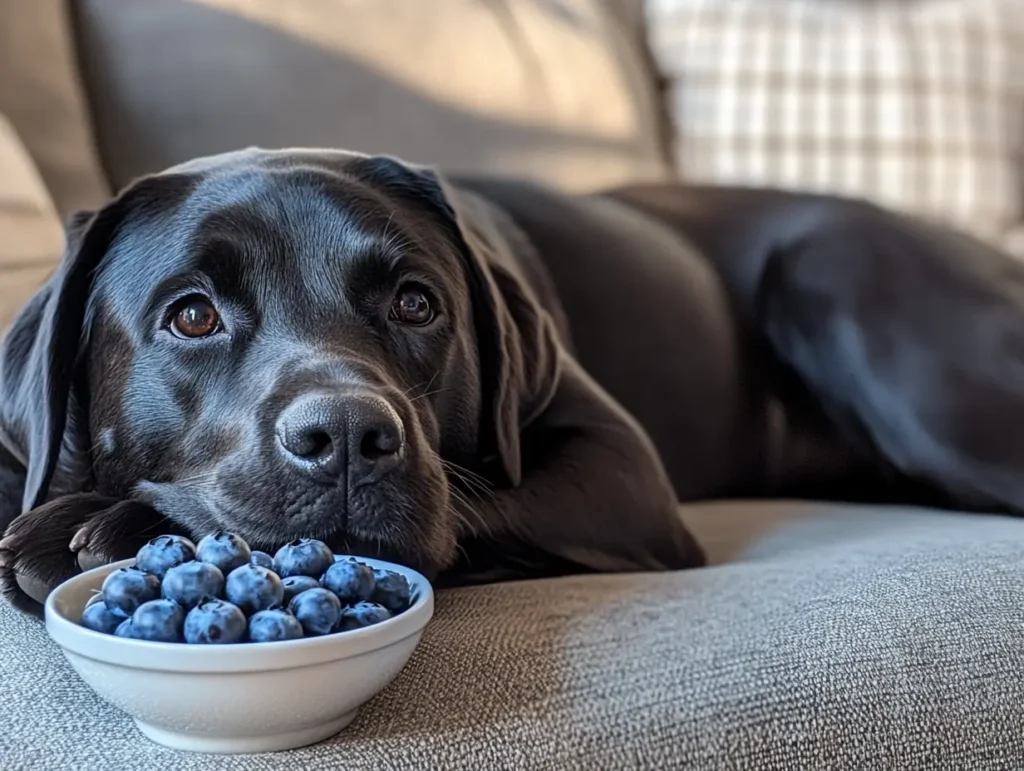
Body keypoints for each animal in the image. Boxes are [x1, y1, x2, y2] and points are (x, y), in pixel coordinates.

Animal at [2, 147, 1024, 610]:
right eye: (192, 316)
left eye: (417, 303)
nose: (346, 437)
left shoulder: (623, 469)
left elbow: (483, 498)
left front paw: (119, 527)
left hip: (865, 315)